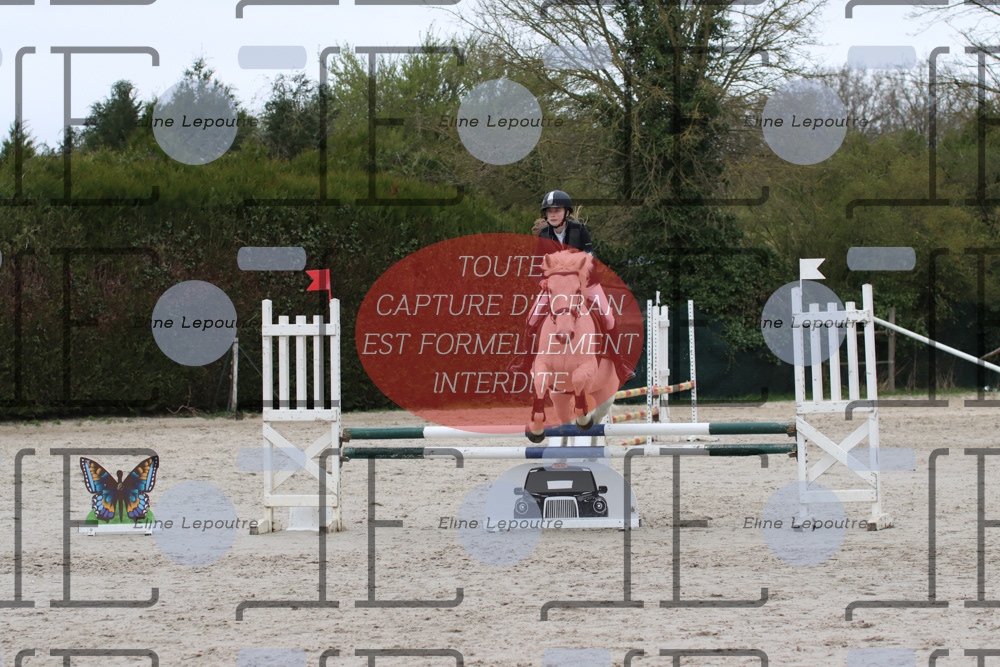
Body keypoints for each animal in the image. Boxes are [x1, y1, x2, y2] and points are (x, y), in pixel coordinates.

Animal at [525, 251, 619, 444]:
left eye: (577, 290)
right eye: (550, 290)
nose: (563, 334)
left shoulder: (589, 367)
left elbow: (578, 378)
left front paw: (583, 418)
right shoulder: (541, 366)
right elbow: (540, 381)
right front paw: (536, 430)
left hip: (607, 393)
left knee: (597, 420)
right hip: (559, 398)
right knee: (565, 422)